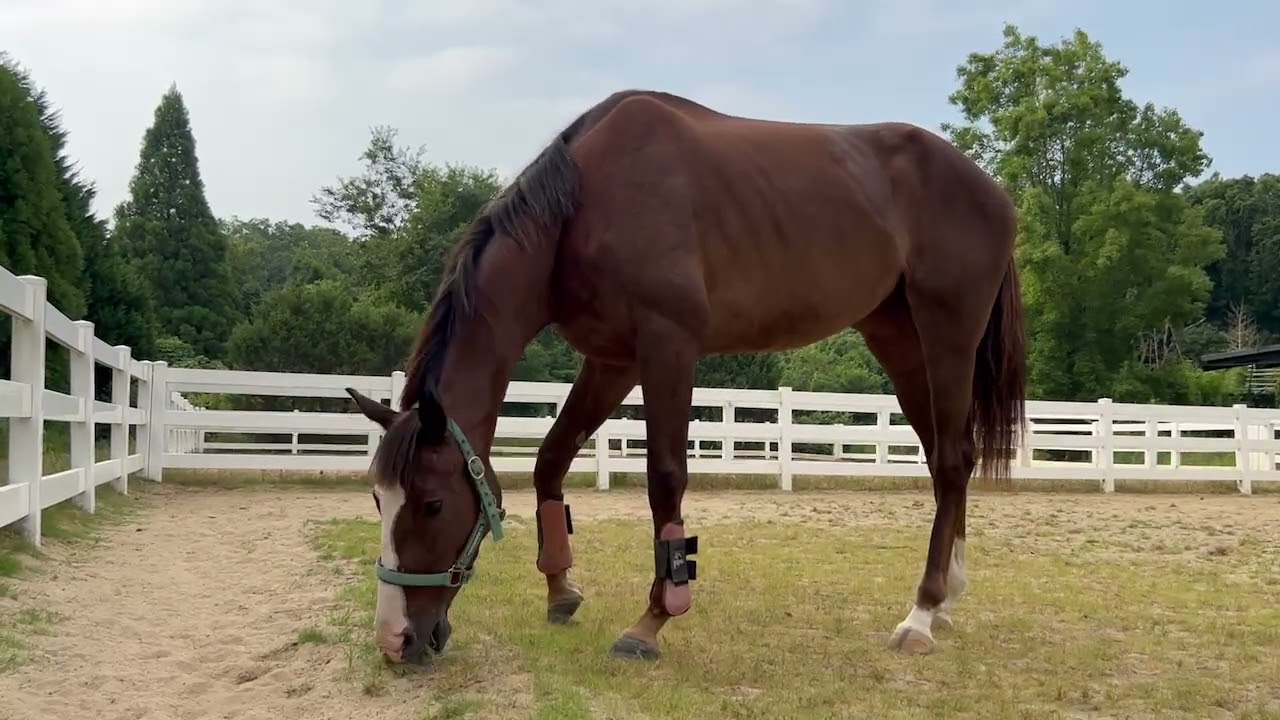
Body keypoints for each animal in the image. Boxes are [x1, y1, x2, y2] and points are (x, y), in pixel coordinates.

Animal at [344, 88, 1027, 664]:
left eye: (432, 503)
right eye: (378, 499)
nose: (396, 639)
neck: (582, 207)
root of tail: (992, 191)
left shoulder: (668, 346)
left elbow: (665, 478)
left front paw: (652, 620)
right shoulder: (613, 360)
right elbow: (551, 459)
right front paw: (561, 590)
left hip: (947, 337)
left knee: (950, 463)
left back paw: (922, 614)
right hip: (899, 342)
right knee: (947, 461)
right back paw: (945, 600)